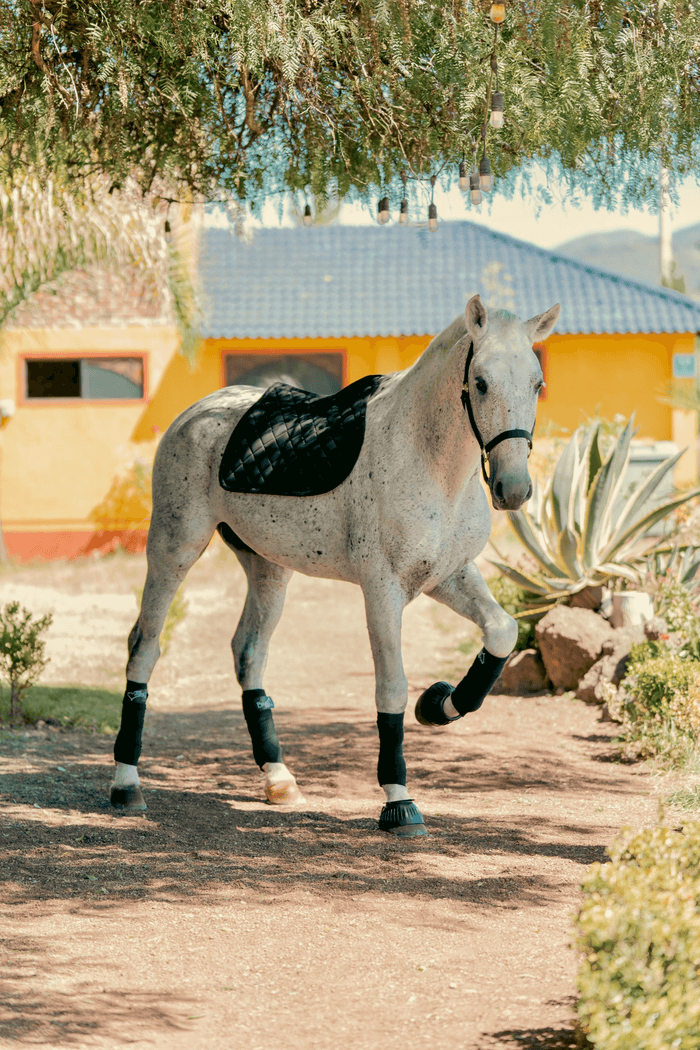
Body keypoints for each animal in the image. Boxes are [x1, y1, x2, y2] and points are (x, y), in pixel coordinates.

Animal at [109, 294, 560, 836]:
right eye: (482, 382)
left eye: (537, 384)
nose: (513, 490)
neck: (427, 458)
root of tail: (197, 414)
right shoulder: (383, 588)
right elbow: (391, 687)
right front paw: (399, 801)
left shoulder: (448, 575)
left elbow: (502, 632)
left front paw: (439, 704)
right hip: (174, 549)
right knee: (144, 646)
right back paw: (126, 784)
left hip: (268, 567)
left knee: (248, 653)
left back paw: (278, 779)